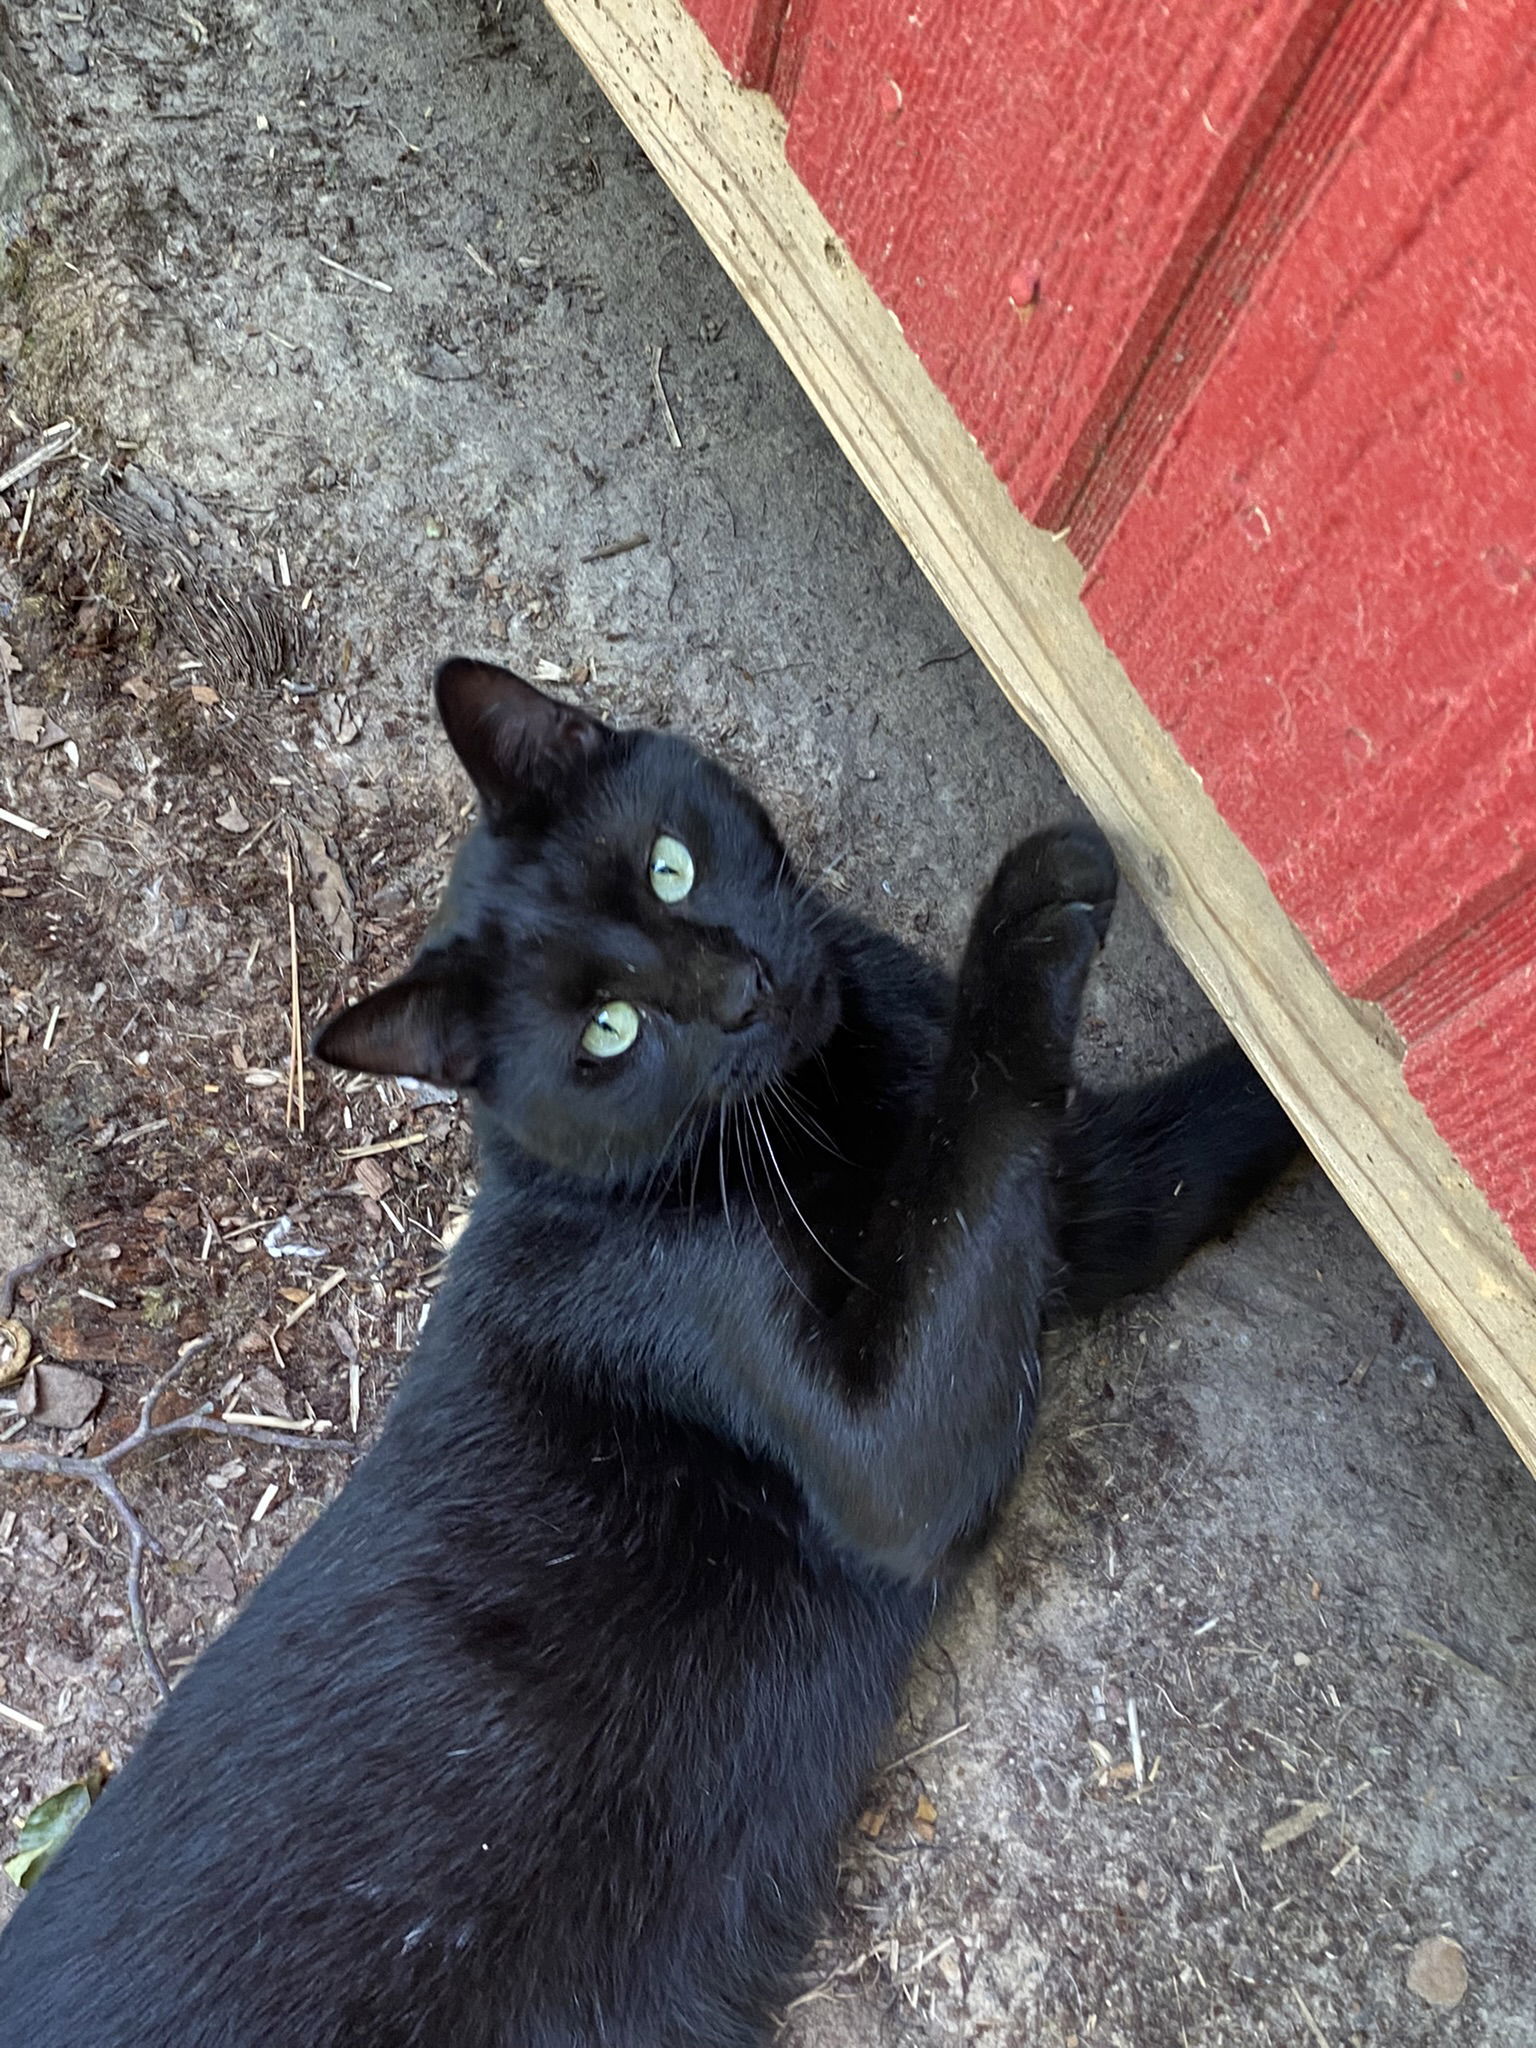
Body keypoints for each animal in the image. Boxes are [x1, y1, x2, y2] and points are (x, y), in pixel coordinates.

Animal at [0, 659, 1302, 2048]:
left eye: (671, 868)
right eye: (609, 1035)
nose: (741, 990)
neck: (825, 1095)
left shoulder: (1068, 1201)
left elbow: (1133, 1145)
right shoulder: (881, 1448)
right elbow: (982, 1138)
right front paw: (1038, 898)